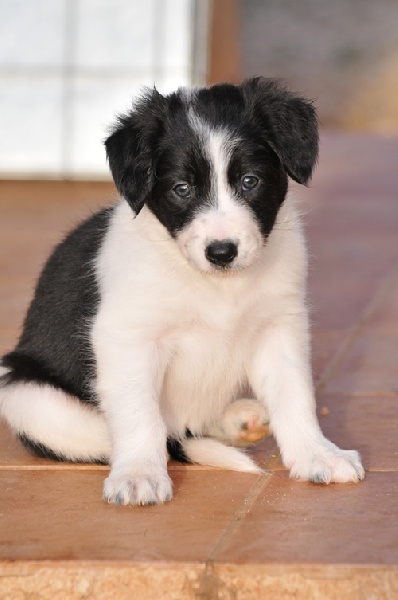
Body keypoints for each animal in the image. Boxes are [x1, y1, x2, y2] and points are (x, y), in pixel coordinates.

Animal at [0, 77, 364, 504]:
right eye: (182, 188)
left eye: (250, 181)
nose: (222, 252)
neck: (216, 285)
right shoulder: (128, 339)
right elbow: (140, 416)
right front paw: (138, 474)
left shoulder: (280, 325)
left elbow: (295, 395)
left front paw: (317, 455)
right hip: (29, 396)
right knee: (161, 437)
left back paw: (238, 421)